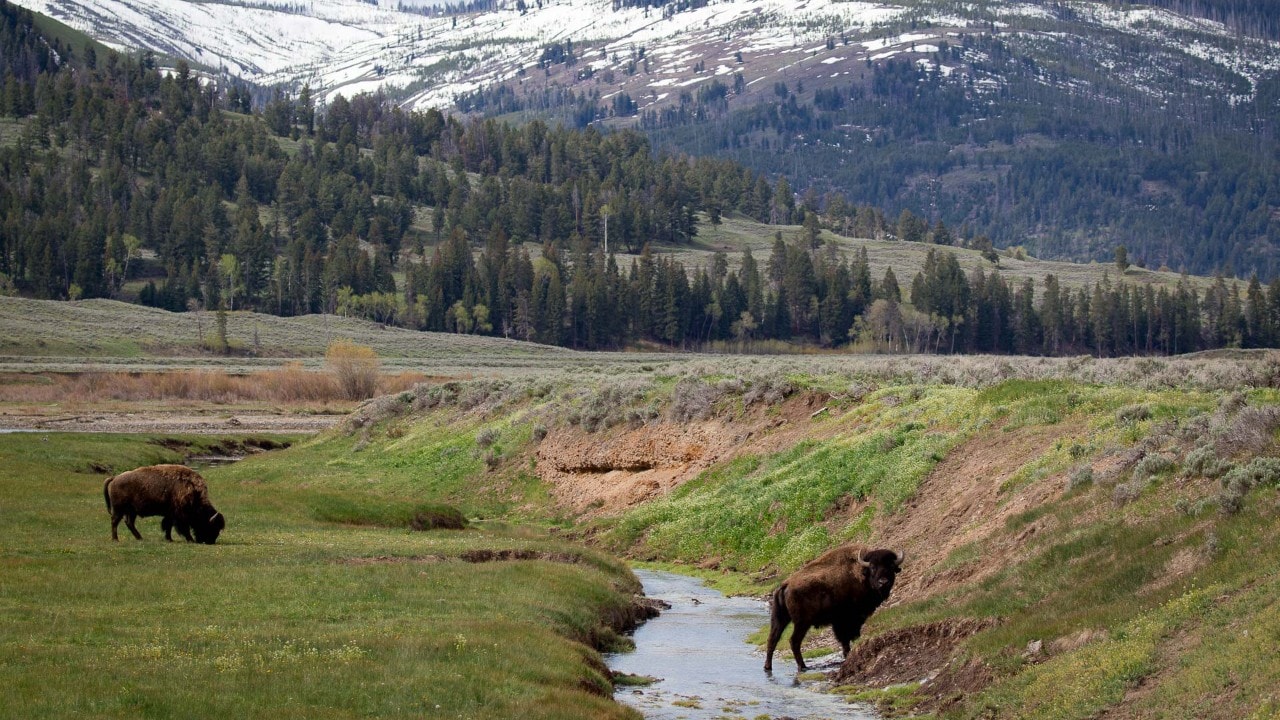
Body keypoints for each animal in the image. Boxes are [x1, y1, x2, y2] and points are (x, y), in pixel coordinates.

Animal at [762, 543, 906, 671]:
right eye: (872, 567)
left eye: (891, 566)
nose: (883, 582)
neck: (861, 574)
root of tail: (786, 584)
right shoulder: (847, 620)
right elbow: (846, 638)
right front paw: (847, 654)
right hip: (802, 623)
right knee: (794, 641)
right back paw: (802, 666)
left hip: (780, 619)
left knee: (772, 640)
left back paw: (768, 667)